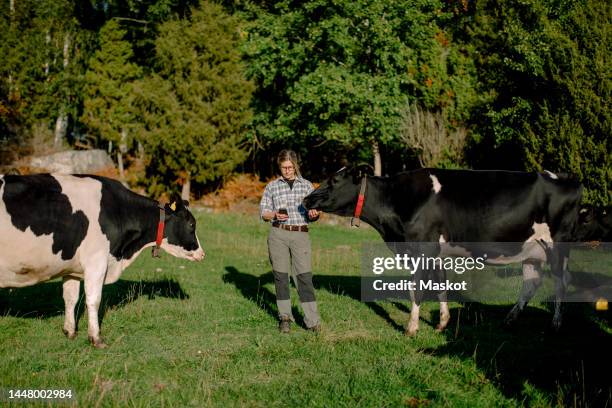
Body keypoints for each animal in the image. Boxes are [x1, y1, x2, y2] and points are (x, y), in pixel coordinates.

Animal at [0, 174, 206, 350]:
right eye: (191, 224)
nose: (202, 254)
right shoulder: (96, 262)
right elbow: (94, 300)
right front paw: (96, 338)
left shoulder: (71, 268)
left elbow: (70, 298)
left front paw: (70, 332)